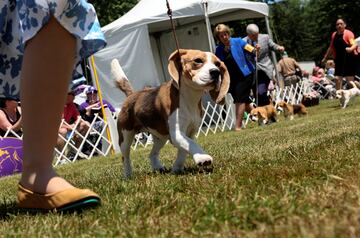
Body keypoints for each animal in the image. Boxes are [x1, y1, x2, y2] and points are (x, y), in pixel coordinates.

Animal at [112, 49, 229, 178]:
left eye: (217, 64)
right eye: (198, 60)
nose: (216, 72)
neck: (189, 97)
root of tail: (132, 95)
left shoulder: (189, 133)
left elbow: (184, 150)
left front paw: (177, 168)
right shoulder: (176, 133)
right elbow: (192, 144)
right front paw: (202, 158)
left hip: (159, 138)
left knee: (152, 154)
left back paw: (158, 167)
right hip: (125, 137)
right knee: (125, 157)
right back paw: (128, 175)